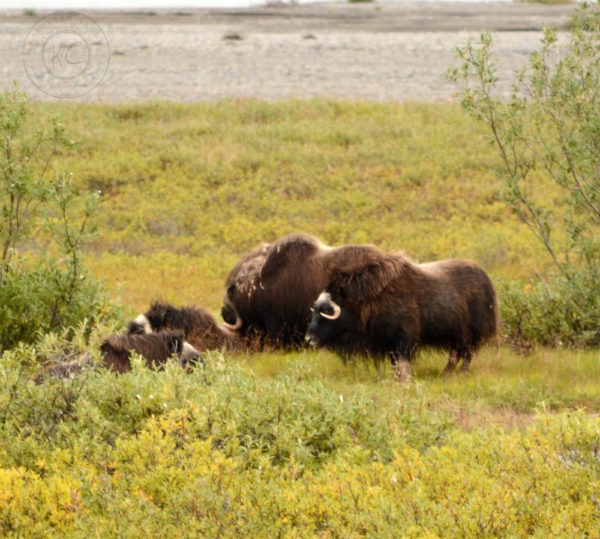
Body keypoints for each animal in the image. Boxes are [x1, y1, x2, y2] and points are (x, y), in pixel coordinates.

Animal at [308, 247, 500, 374]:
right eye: (315, 309)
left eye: (326, 311)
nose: (308, 338)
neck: (371, 301)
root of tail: (487, 279)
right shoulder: (389, 341)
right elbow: (395, 362)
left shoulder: (405, 337)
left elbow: (402, 361)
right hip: (454, 333)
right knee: (456, 352)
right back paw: (446, 371)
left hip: (470, 331)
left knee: (467, 351)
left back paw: (461, 372)